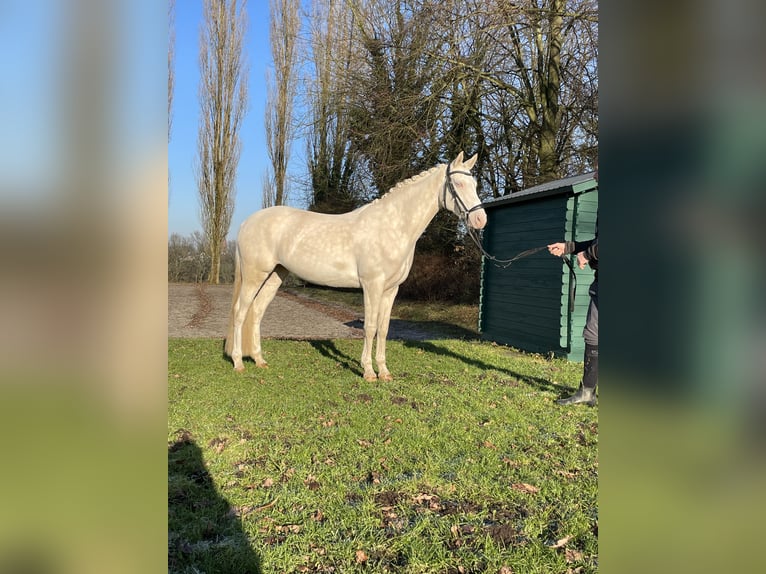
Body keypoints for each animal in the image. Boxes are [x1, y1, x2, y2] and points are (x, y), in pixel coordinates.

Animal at [225, 152, 486, 382]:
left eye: (474, 183)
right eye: (458, 183)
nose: (481, 219)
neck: (392, 226)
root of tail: (247, 222)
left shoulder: (391, 290)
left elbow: (384, 329)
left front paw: (384, 372)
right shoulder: (372, 286)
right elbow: (369, 327)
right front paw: (369, 372)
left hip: (276, 275)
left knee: (257, 311)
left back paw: (259, 360)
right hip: (254, 275)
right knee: (240, 312)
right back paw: (238, 363)